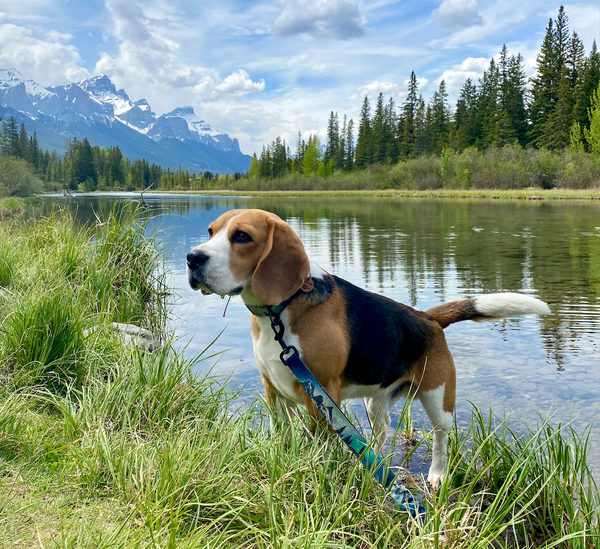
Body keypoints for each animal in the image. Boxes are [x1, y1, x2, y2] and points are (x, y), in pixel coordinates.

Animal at [186, 209, 548, 484]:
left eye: (242, 236)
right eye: (211, 231)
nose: (192, 258)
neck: (280, 311)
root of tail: (428, 318)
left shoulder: (322, 394)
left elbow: (321, 446)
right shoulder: (272, 388)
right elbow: (282, 433)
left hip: (439, 398)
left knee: (441, 438)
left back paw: (437, 475)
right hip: (377, 403)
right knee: (381, 434)